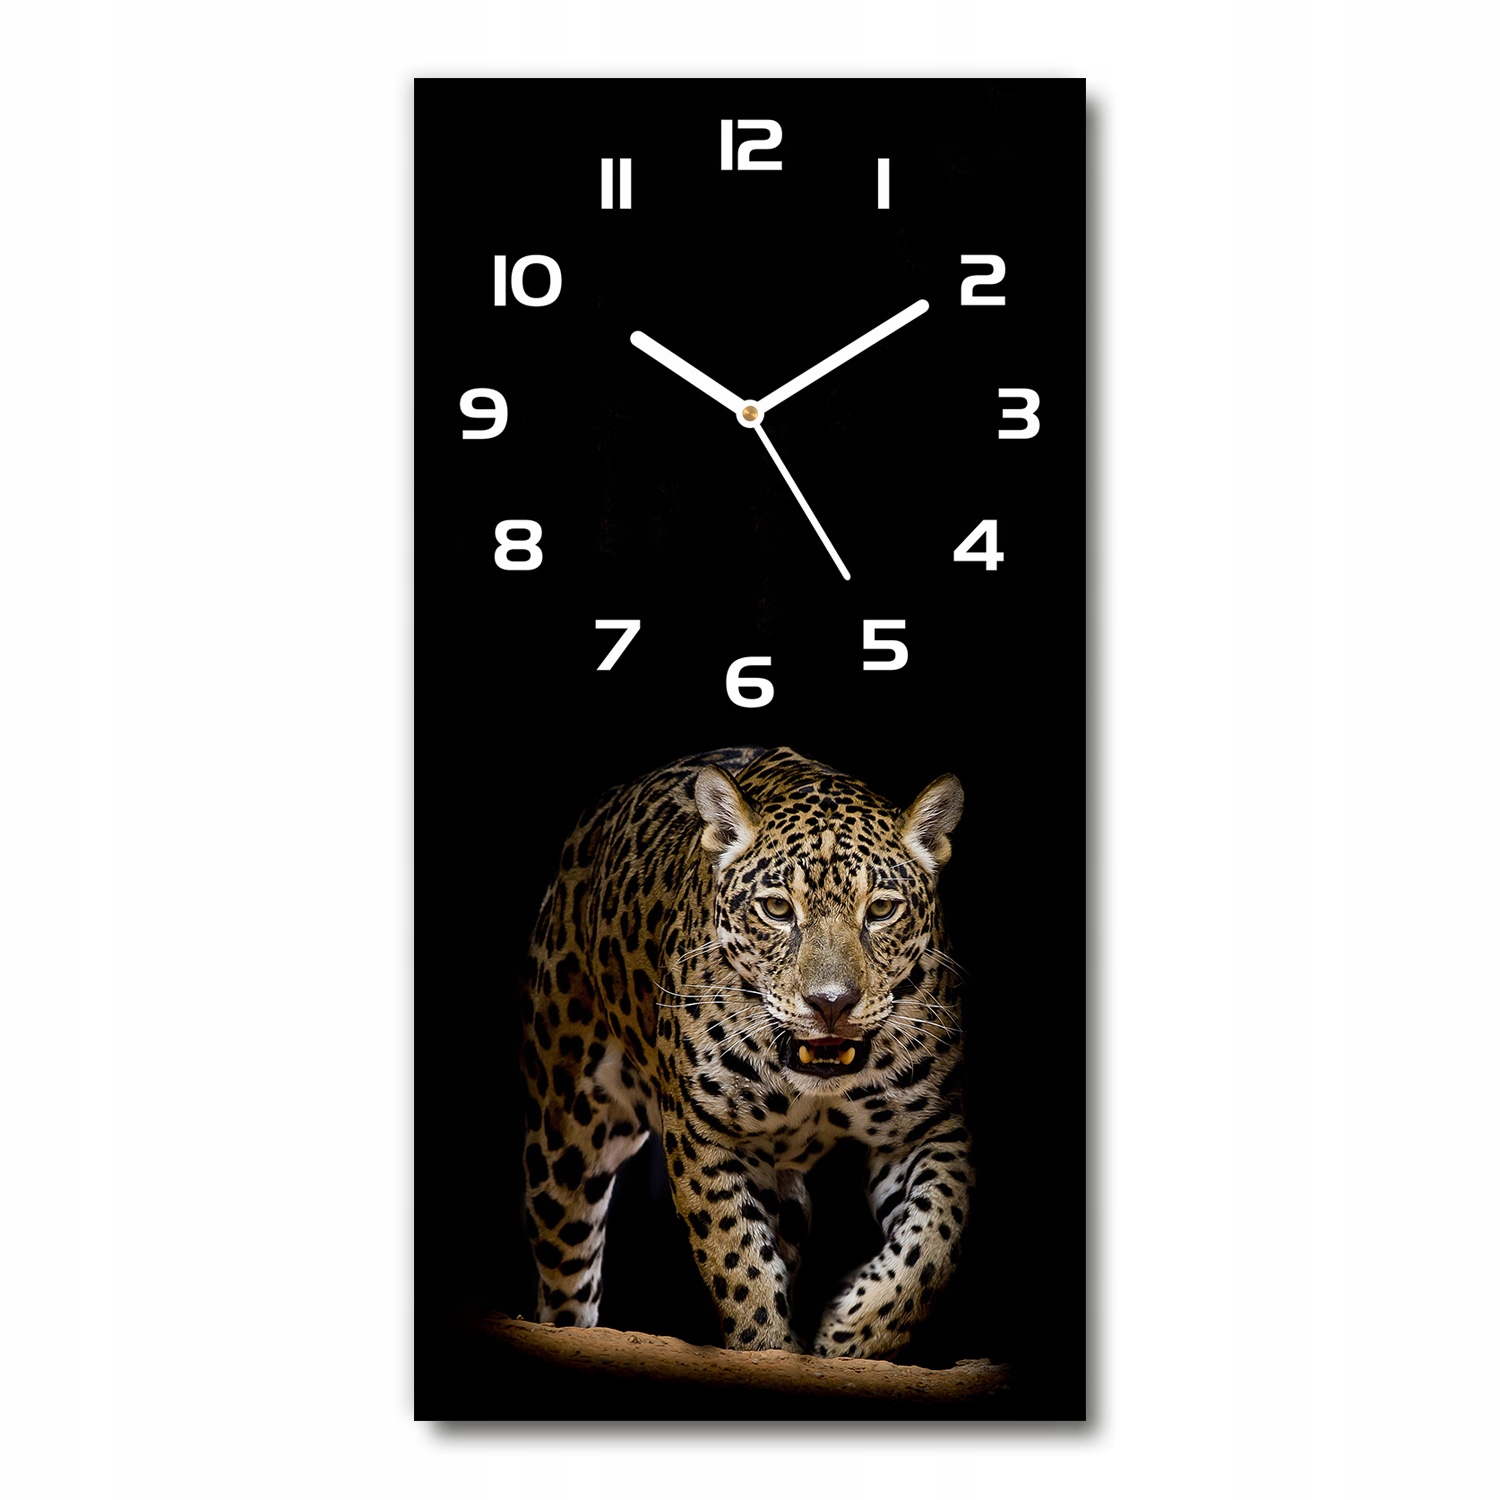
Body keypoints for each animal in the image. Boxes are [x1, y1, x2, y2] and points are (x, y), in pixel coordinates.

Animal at [519, 745, 972, 1357]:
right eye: (777, 909)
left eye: (881, 911)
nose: (831, 1003)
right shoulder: (706, 1135)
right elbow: (738, 1262)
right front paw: (769, 1345)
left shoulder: (927, 1127)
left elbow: (934, 1240)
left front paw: (849, 1334)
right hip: (565, 1135)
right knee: (567, 1269)